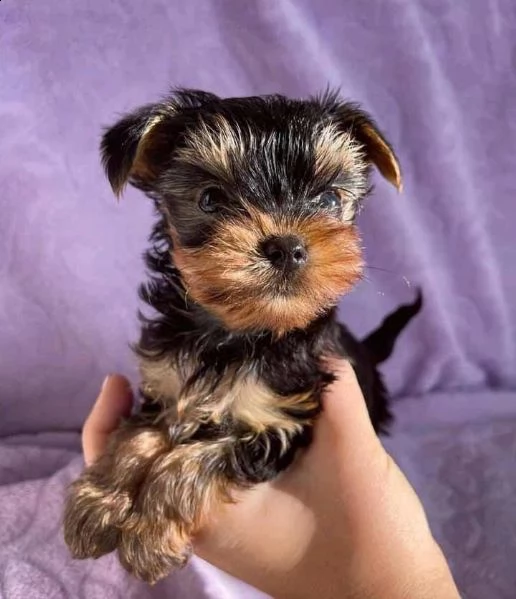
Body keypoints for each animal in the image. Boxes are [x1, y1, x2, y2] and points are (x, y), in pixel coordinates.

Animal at [62, 86, 422, 584]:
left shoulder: (282, 421)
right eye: (211, 199)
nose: (286, 246)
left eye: (330, 200)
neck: (236, 332)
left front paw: (149, 531)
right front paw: (99, 500)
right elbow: (138, 435)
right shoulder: (166, 388)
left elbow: (199, 457)